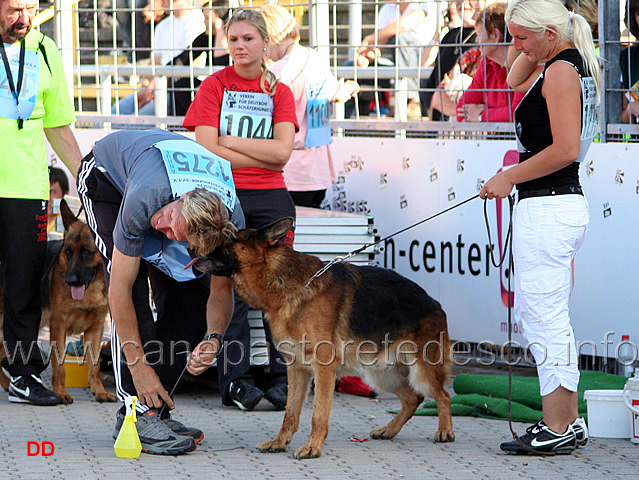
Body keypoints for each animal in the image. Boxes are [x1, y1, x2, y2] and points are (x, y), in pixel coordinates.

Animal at [0, 201, 116, 404]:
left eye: (86, 252)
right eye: (68, 251)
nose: (70, 280)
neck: (90, 290)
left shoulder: (96, 329)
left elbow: (94, 365)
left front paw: (99, 391)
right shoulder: (58, 327)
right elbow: (59, 366)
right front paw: (61, 393)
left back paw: (8, 385)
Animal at [192, 219, 458, 460]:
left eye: (229, 238)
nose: (192, 250)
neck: (285, 284)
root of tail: (434, 303)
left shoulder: (323, 369)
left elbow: (317, 414)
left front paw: (312, 448)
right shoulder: (297, 369)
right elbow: (290, 413)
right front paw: (280, 442)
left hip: (420, 370)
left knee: (442, 396)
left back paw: (445, 431)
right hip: (380, 374)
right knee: (414, 398)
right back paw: (389, 430)